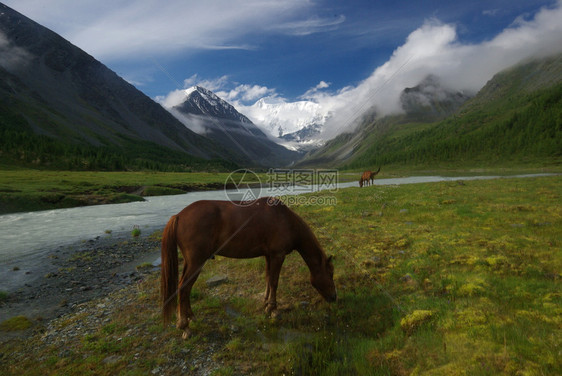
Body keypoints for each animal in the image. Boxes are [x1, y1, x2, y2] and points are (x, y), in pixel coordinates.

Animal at [160, 197, 334, 338]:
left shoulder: (269, 255)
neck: (285, 220)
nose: (335, 298)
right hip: (196, 262)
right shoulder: (278, 256)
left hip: (191, 263)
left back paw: (191, 317)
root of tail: (178, 216)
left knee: (185, 289)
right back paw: (185, 326)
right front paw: (273, 310)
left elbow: (268, 278)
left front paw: (266, 304)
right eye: (331, 274)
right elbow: (274, 282)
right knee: (183, 288)